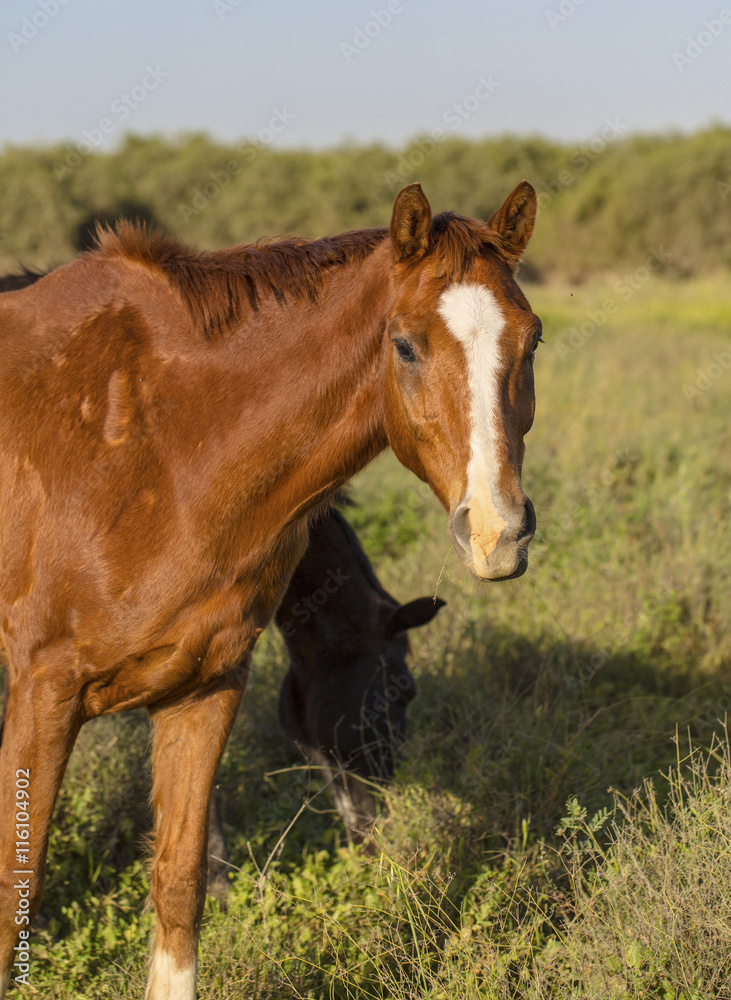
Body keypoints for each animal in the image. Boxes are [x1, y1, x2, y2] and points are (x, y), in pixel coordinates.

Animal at [0, 184, 536, 996]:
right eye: (405, 346)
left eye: (531, 342)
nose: (498, 532)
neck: (162, 447)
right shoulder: (43, 690)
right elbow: (16, 886)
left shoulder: (202, 685)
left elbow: (180, 880)